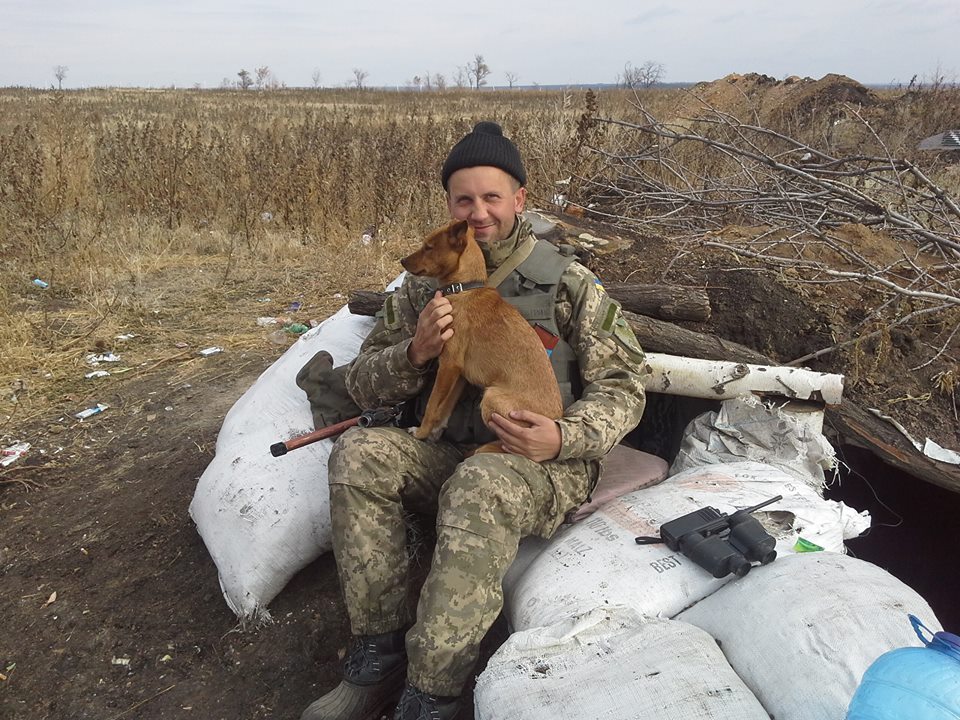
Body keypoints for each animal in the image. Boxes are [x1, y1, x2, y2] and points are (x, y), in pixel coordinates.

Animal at [404, 221, 568, 456]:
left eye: (428, 247)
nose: (402, 261)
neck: (463, 289)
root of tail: (554, 419)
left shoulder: (448, 366)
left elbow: (432, 405)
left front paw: (421, 432)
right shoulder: (459, 375)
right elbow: (445, 408)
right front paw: (434, 433)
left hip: (492, 397)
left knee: (517, 447)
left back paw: (484, 448)